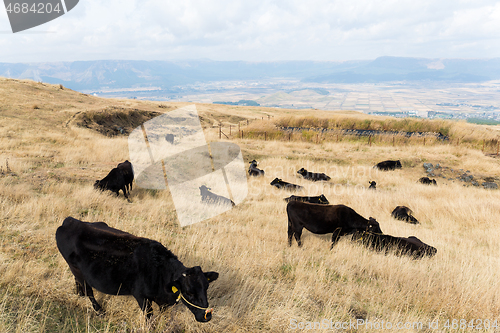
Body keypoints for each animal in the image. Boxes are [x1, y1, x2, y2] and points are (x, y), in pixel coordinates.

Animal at [55, 217, 219, 320]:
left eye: (206, 287)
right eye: (188, 292)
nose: (207, 316)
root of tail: (71, 221)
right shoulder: (141, 296)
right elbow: (149, 317)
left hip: (76, 269)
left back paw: (79, 294)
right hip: (76, 269)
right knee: (89, 291)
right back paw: (99, 310)